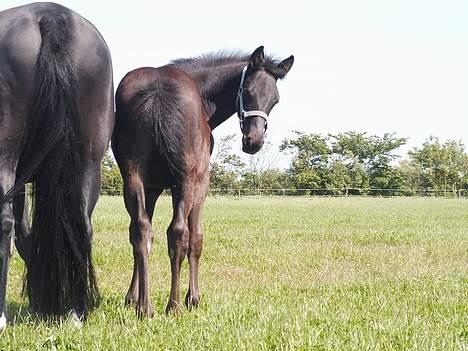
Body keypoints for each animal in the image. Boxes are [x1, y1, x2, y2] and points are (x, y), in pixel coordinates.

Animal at [0, 2, 114, 330]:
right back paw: (75, 312)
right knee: (82, 226)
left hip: (6, 154)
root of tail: (52, 16)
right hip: (88, 163)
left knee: (4, 224)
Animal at [112, 45, 292, 318]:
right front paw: (193, 298)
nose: (254, 141)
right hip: (186, 181)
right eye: (247, 91)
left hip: (132, 178)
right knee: (177, 233)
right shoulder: (201, 182)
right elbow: (196, 238)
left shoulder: (151, 187)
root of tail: (157, 92)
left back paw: (145, 307)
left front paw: (132, 298)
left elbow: (143, 232)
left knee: (141, 229)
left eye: (275, 100)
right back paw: (173, 305)